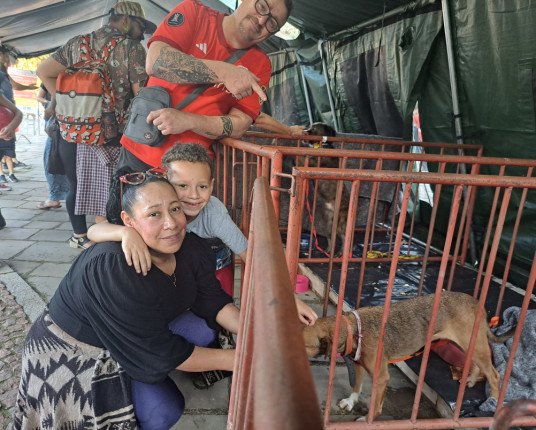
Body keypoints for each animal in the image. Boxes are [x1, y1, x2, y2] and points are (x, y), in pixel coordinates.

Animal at [304, 290, 512, 418]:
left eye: (303, 344)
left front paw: (367, 420)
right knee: (477, 364)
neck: (352, 330)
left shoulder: (381, 377)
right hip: (467, 345)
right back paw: (470, 380)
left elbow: (376, 407)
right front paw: (350, 401)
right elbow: (357, 386)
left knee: (494, 374)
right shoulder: (358, 365)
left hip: (474, 345)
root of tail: (477, 303)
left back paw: (493, 400)